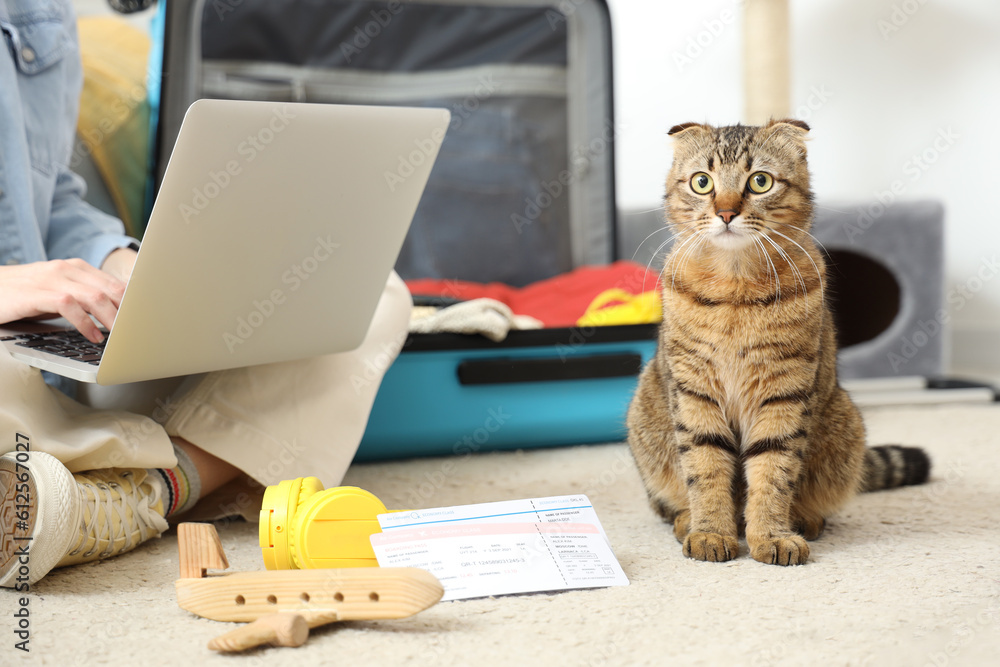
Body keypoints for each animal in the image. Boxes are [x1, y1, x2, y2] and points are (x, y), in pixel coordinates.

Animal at [628, 118, 932, 564]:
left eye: (760, 181)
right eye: (702, 182)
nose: (726, 212)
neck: (735, 291)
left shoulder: (783, 392)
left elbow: (773, 471)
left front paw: (771, 535)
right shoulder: (695, 391)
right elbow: (705, 468)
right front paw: (710, 531)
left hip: (845, 425)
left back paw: (803, 519)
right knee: (667, 501)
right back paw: (687, 519)